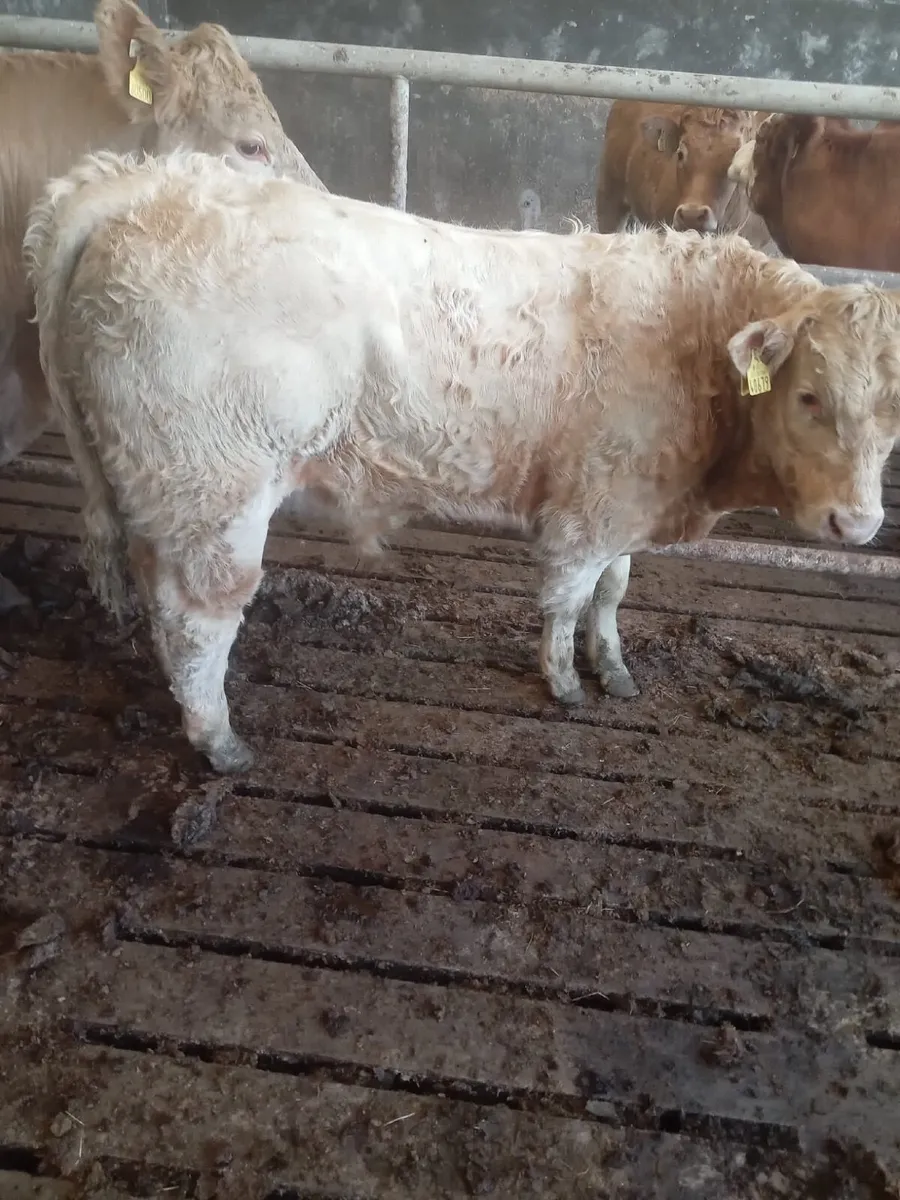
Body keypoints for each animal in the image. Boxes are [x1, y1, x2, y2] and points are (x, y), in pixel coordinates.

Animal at [25, 150, 900, 772]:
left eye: (894, 417)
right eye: (810, 395)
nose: (855, 524)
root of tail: (150, 180)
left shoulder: (626, 499)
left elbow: (613, 592)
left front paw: (614, 668)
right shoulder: (587, 509)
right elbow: (568, 597)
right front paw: (565, 682)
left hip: (165, 488)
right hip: (215, 490)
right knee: (198, 619)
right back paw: (220, 742)